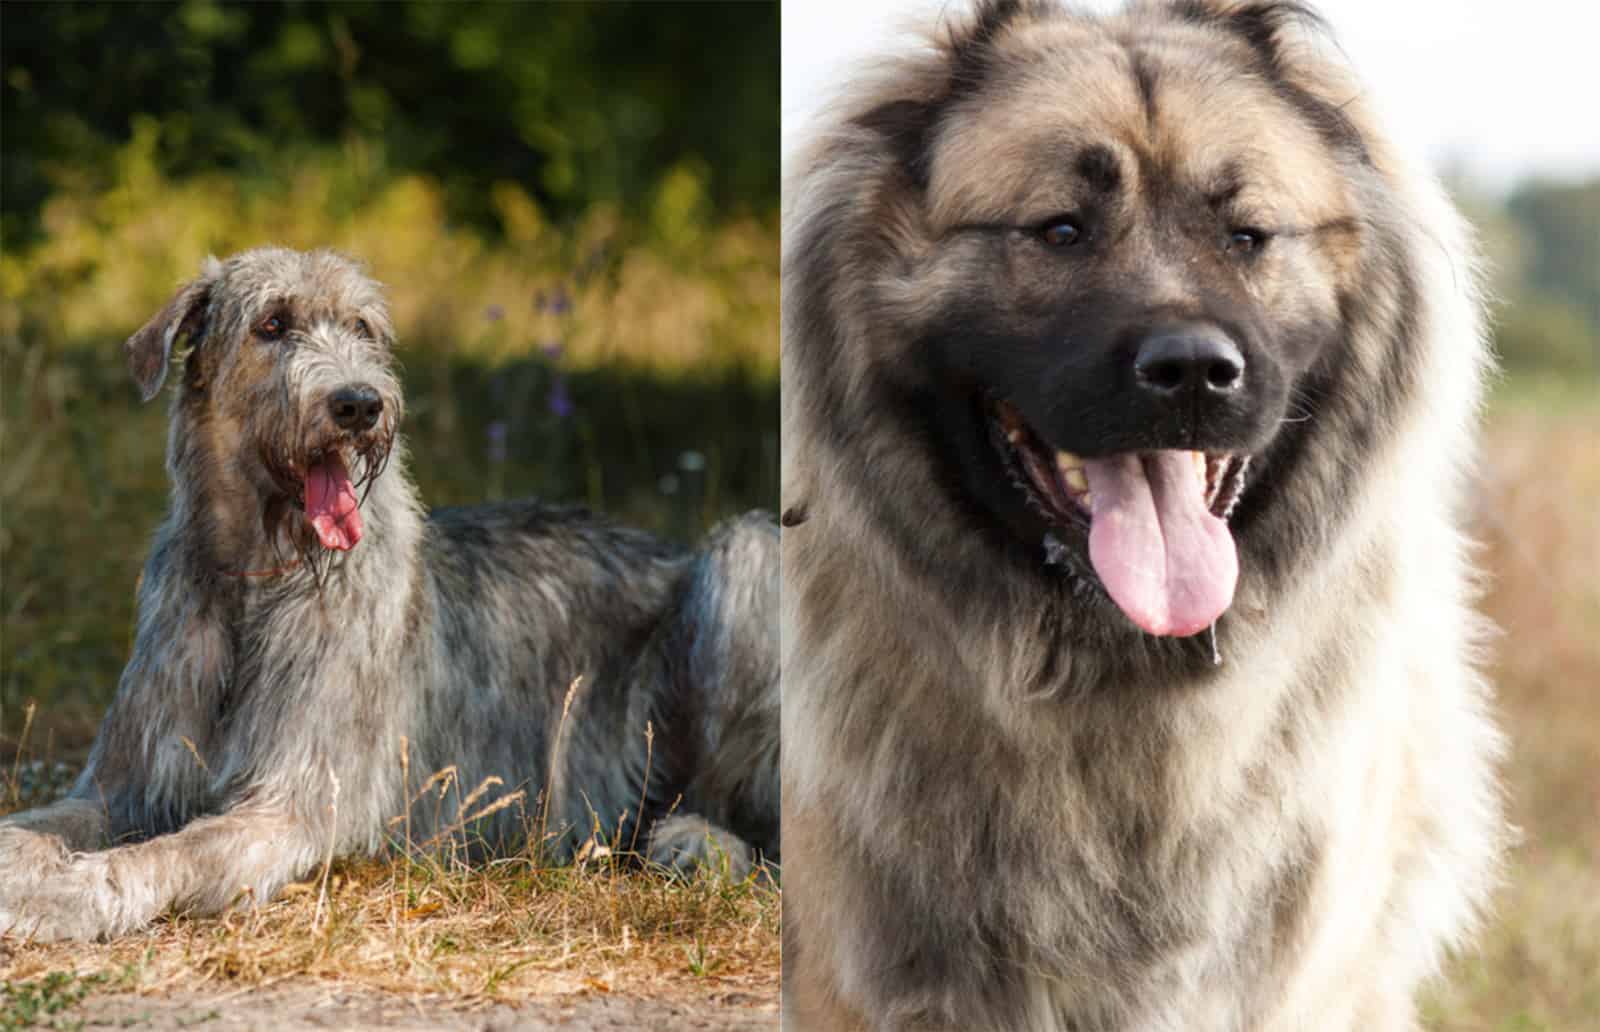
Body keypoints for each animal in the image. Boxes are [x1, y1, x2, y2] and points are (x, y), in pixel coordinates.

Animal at [0, 244, 777, 940]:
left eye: (362, 327)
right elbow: (42, 821)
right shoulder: (128, 783)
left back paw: (699, 840)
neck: (256, 584)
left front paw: (70, 895)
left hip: (746, 558)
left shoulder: (296, 804)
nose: (359, 404)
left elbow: (174, 851)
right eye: (272, 324)